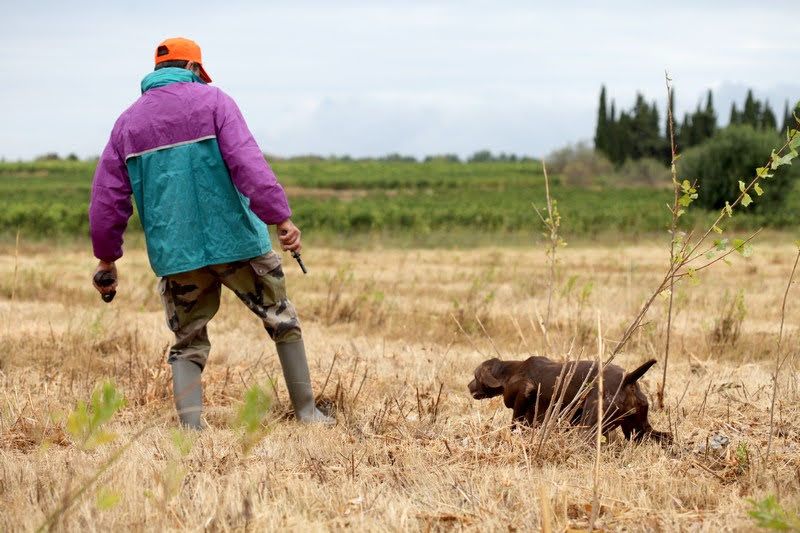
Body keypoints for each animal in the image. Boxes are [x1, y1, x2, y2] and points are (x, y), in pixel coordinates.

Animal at [466, 356, 672, 442]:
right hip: (638, 430)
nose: (468, 386)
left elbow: (515, 422)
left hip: (589, 427)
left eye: (475, 376)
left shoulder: (524, 396)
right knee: (666, 437)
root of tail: (628, 378)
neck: (511, 371)